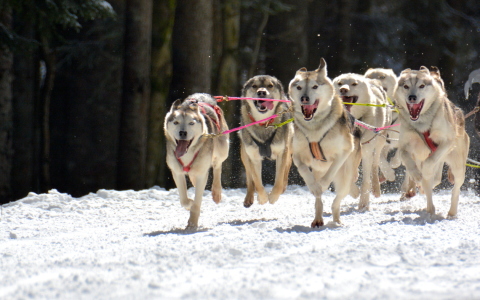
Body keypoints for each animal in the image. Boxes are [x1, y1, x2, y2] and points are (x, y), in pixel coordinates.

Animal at [164, 92, 230, 229]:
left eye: (191, 123)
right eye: (176, 122)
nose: (182, 132)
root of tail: (203, 96)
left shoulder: (202, 174)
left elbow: (197, 202)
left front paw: (192, 223)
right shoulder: (177, 172)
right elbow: (184, 200)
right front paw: (189, 203)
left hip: (222, 149)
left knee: (217, 166)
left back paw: (216, 192)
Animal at [239, 74, 292, 209]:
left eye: (270, 85)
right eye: (254, 86)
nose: (261, 92)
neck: (264, 123)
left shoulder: (282, 152)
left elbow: (278, 180)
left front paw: (273, 196)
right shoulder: (253, 157)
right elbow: (257, 182)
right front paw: (262, 198)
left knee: (286, 170)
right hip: (245, 155)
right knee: (250, 178)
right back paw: (249, 198)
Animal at [288, 59, 360, 227]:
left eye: (315, 86)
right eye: (299, 87)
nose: (304, 98)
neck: (314, 128)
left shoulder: (344, 151)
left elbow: (331, 172)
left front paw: (322, 184)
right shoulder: (297, 155)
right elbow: (304, 170)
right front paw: (314, 186)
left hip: (345, 178)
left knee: (337, 201)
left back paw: (336, 221)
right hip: (319, 170)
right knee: (318, 202)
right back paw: (318, 218)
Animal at [332, 72, 392, 210]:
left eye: (354, 84)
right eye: (339, 83)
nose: (343, 89)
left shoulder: (367, 148)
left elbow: (366, 180)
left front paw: (364, 202)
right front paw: (353, 191)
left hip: (379, 141)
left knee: (375, 163)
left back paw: (376, 187)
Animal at [394, 66, 468, 216]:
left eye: (421, 86)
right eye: (406, 86)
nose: (412, 97)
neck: (422, 124)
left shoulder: (447, 142)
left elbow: (429, 163)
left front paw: (424, 173)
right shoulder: (404, 145)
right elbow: (406, 158)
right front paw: (416, 174)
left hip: (457, 166)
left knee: (455, 189)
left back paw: (451, 212)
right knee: (429, 188)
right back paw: (429, 207)